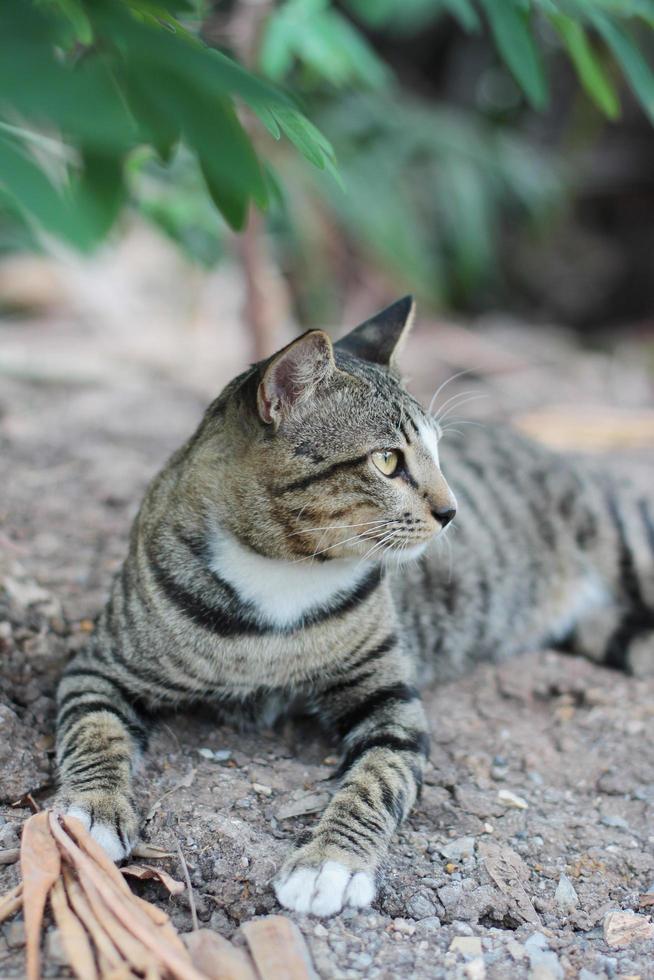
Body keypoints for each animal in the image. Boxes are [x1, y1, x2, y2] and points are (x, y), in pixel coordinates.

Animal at [55, 298, 654, 920]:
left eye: (439, 453)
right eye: (388, 461)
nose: (453, 512)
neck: (283, 572)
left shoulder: (390, 701)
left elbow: (377, 777)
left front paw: (330, 864)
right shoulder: (100, 667)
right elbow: (93, 730)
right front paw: (93, 811)